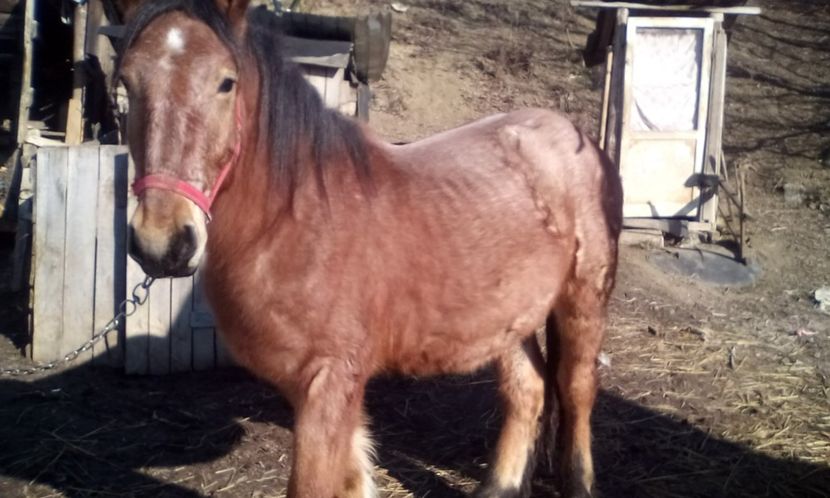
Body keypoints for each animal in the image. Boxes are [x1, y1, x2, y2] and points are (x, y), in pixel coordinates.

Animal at [122, 0, 624, 498]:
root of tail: (570, 133)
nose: (163, 243)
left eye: (226, 82)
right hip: (509, 317)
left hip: (583, 301)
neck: (295, 221)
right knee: (527, 389)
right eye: (126, 81)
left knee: (576, 390)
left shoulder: (327, 382)